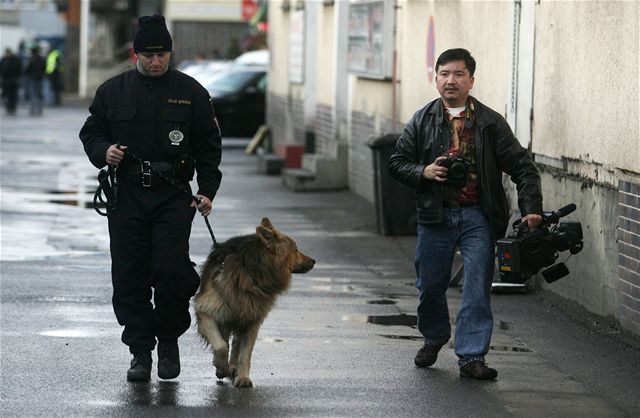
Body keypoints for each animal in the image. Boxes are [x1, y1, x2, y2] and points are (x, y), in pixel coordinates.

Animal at [195, 217, 316, 386]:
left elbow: (245, 353)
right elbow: (221, 346)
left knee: (236, 344)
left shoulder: (252, 320)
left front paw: (243, 377)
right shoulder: (207, 312)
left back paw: (232, 367)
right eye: (296, 249)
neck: (252, 273)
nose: (314, 261)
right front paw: (220, 365)